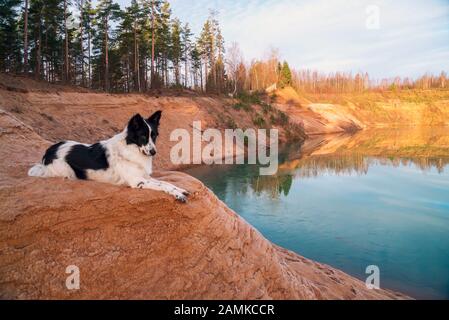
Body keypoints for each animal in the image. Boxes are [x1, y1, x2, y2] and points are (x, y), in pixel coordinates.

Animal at [27, 111, 189, 202]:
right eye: (143, 136)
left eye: (154, 136)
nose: (154, 152)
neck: (131, 148)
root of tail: (50, 150)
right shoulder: (138, 181)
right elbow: (162, 186)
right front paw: (177, 195)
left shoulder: (145, 176)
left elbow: (165, 183)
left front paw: (180, 189)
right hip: (66, 170)